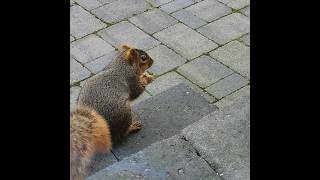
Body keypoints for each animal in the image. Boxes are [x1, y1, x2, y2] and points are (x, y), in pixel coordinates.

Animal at [70, 44, 155, 179]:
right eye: (143, 58)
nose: (153, 61)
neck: (121, 63)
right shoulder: (131, 79)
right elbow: (136, 91)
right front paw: (147, 79)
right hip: (124, 114)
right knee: (121, 135)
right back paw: (132, 127)